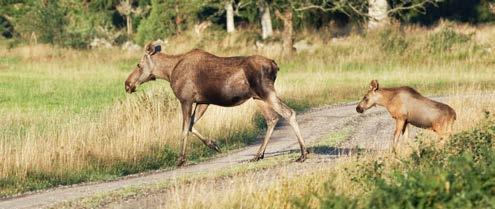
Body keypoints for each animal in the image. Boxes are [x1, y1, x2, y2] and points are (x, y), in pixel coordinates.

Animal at [126, 42, 308, 167]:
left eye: (138, 65)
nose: (127, 84)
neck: (169, 73)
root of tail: (275, 65)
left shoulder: (186, 100)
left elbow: (184, 129)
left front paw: (181, 159)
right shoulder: (203, 102)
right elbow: (191, 125)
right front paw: (214, 145)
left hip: (265, 92)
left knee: (288, 113)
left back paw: (303, 153)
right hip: (258, 97)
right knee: (272, 119)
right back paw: (258, 155)